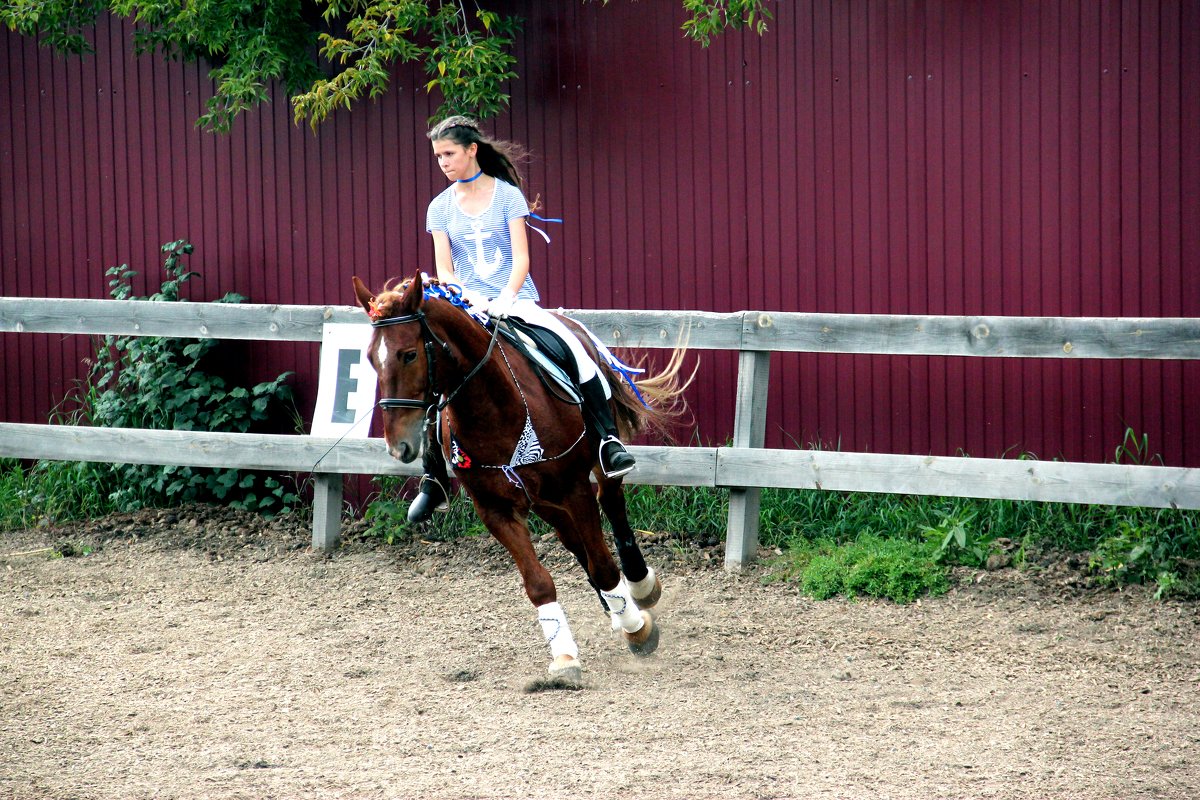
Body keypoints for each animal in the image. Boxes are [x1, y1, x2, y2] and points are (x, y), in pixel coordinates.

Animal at [350, 273, 691, 681]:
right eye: (371, 358)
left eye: (409, 354)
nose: (398, 446)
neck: (495, 409)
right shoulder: (495, 509)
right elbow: (539, 584)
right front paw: (565, 656)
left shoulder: (574, 489)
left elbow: (604, 565)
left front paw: (637, 630)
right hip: (542, 499)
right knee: (574, 541)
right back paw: (616, 608)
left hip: (593, 464)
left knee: (611, 505)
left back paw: (639, 589)